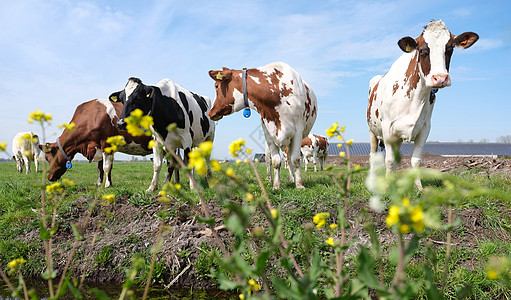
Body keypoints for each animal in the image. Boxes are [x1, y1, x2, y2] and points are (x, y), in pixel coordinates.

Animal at [208, 61, 316, 189]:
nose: (210, 112)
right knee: (269, 158)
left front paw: (299, 185)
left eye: (216, 86)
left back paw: (291, 179)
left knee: (289, 159)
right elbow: (275, 161)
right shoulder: (270, 133)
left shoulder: (298, 132)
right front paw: (276, 185)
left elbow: (295, 160)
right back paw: (270, 179)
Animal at [368, 20, 480, 190]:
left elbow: (416, 160)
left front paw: (419, 188)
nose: (440, 78)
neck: (415, 99)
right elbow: (389, 160)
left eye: (450, 49)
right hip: (373, 131)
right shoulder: (387, 127)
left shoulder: (425, 127)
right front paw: (387, 187)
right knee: (374, 155)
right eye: (422, 50)